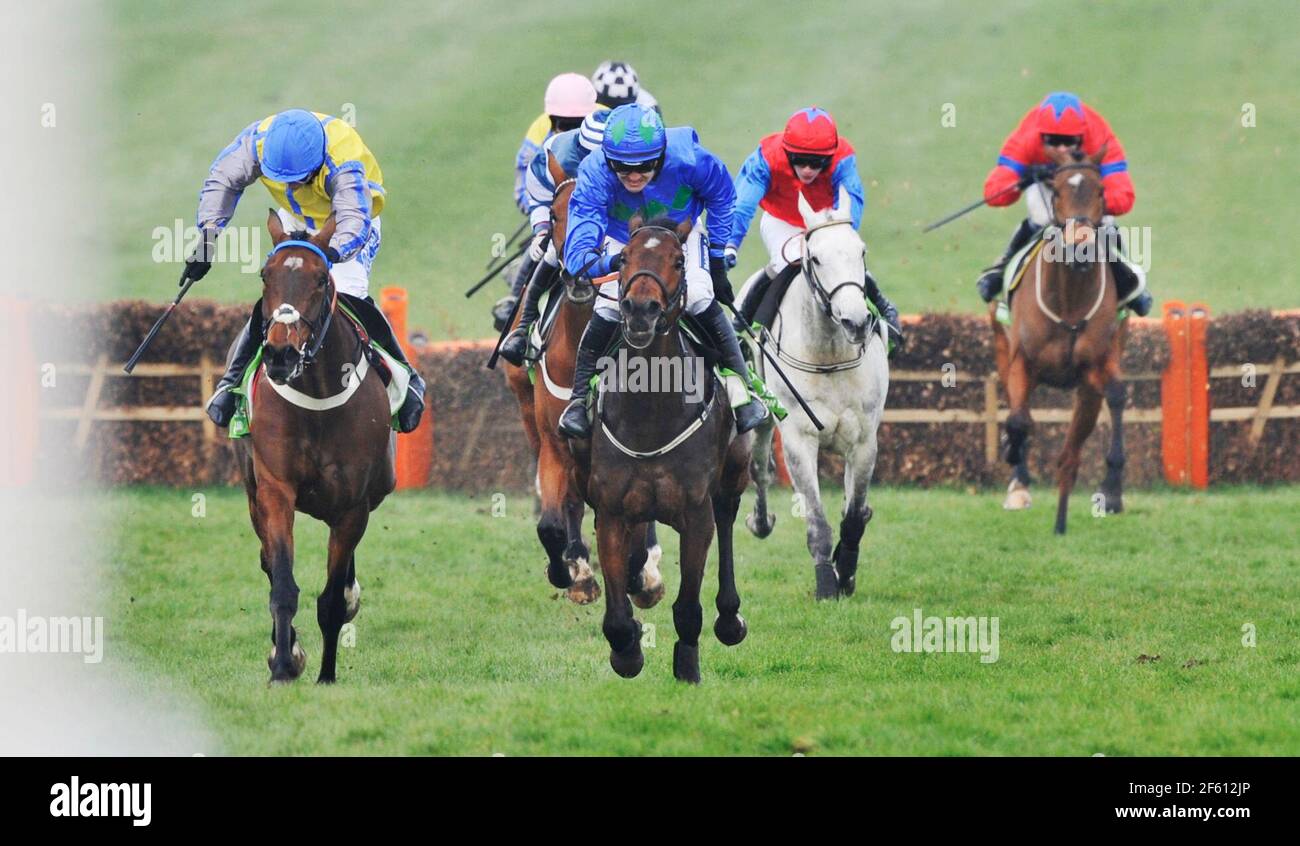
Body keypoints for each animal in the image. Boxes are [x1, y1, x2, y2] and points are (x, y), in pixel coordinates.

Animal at [233, 210, 392, 680]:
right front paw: (284, 664)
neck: (319, 396)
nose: (280, 354)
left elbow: (333, 601)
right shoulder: (275, 490)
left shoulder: (353, 505)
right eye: (265, 275)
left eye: (321, 278)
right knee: (268, 561)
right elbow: (282, 584)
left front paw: (326, 676)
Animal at [501, 162, 665, 605]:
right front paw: (570, 571)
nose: (576, 274)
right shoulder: (556, 445)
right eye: (556, 215)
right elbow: (551, 523)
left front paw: (641, 574)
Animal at [572, 215, 754, 686]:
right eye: (622, 258)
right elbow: (617, 614)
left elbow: (689, 607)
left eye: (677, 260)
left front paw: (687, 665)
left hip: (734, 476)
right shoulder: (612, 511)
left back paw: (730, 620)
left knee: (727, 522)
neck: (651, 413)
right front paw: (627, 651)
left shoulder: (695, 514)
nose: (640, 310)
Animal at [748, 189, 889, 602]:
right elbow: (816, 519)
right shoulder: (799, 439)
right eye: (816, 258)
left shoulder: (863, 441)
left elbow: (853, 515)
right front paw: (827, 584)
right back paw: (761, 521)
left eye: (861, 251)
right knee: (758, 468)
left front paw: (847, 572)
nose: (856, 321)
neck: (828, 355)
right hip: (763, 419)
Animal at [993, 144, 1128, 530]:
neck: (1069, 299)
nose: (1080, 246)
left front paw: (1111, 491)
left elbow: (1116, 394)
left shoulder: (1096, 366)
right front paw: (1014, 459)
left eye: (1101, 191)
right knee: (1017, 409)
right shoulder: (1021, 362)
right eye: (1056, 190)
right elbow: (1018, 420)